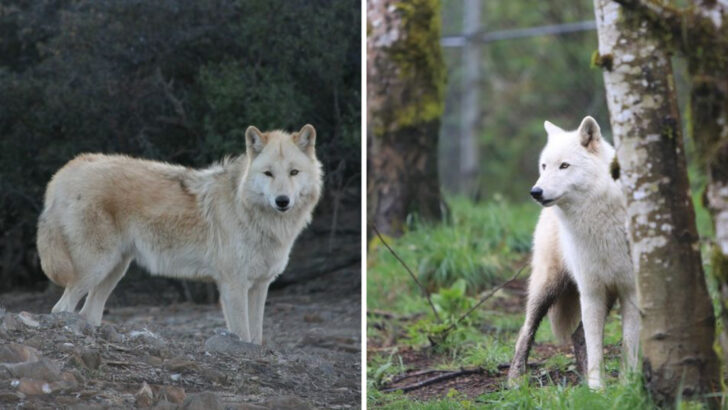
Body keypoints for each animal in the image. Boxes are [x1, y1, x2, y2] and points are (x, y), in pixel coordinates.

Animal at [36, 124, 322, 344]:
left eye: (294, 172)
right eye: (268, 173)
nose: (282, 201)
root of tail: (65, 171)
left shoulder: (260, 285)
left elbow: (256, 337)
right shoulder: (233, 285)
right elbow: (242, 333)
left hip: (114, 271)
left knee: (89, 313)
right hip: (96, 267)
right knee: (61, 308)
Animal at [507, 116, 638, 389]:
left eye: (564, 166)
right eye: (544, 166)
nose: (535, 192)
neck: (600, 222)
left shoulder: (630, 291)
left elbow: (628, 345)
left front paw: (627, 385)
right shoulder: (591, 290)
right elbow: (595, 345)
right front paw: (598, 389)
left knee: (577, 334)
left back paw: (582, 376)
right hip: (547, 286)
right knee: (526, 330)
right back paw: (515, 380)